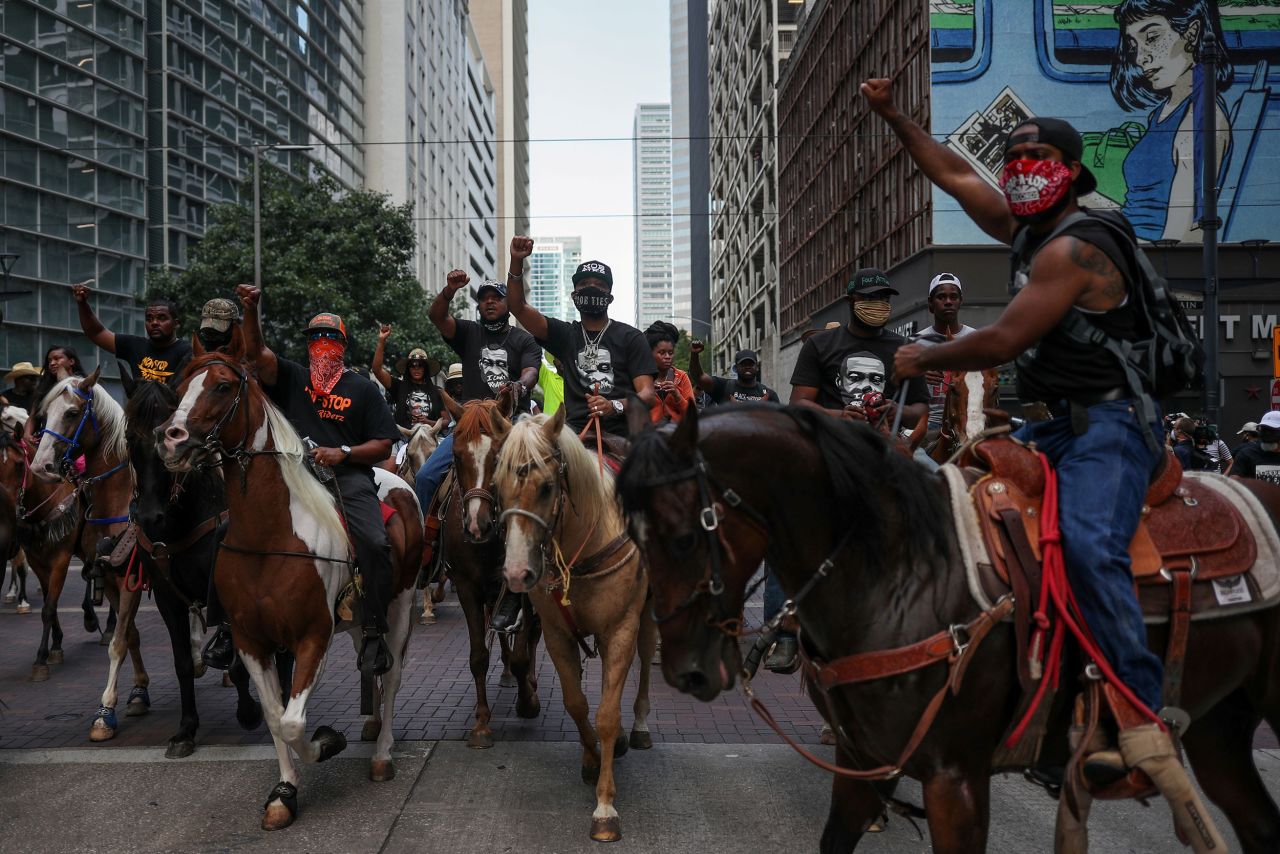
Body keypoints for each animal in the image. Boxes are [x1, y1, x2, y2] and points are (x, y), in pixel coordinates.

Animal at [119, 373, 263, 752]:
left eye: (169, 435)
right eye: (130, 438)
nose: (150, 517)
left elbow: (238, 659)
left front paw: (249, 712)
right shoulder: (168, 598)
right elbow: (182, 662)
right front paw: (186, 728)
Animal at [158, 345, 422, 829]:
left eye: (222, 386)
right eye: (180, 387)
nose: (171, 438)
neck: (271, 534)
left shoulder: (312, 636)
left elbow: (295, 723)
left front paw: (328, 741)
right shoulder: (251, 641)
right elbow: (275, 716)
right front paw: (284, 793)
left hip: (400, 602)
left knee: (392, 674)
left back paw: (382, 753)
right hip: (359, 617)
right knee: (370, 660)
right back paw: (372, 724)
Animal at [442, 391, 542, 747]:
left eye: (498, 456)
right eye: (456, 456)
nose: (477, 525)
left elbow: (524, 649)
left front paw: (528, 702)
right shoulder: (467, 587)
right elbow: (478, 656)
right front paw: (482, 724)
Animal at [496, 409, 660, 845]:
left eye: (547, 487)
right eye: (498, 486)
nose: (517, 573)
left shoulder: (620, 628)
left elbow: (606, 715)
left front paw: (605, 807)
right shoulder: (557, 636)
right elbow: (577, 704)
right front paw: (591, 759)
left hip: (645, 615)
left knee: (644, 663)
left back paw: (639, 727)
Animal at [616, 407, 1280, 854]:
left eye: (684, 538)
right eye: (634, 539)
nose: (688, 673)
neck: (901, 573)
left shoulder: (955, 779)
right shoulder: (862, 761)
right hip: (1219, 728)